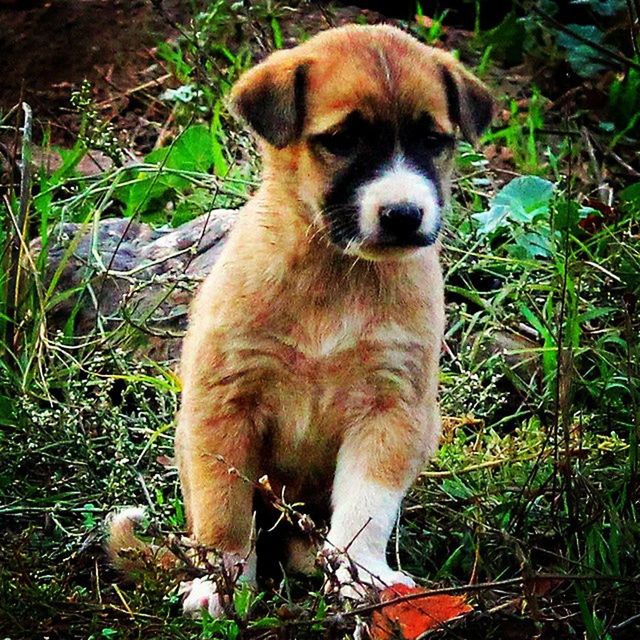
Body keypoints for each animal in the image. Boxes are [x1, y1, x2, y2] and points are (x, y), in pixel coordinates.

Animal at [169, 23, 490, 616]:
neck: (338, 275)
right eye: (341, 140)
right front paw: (219, 583)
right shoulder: (226, 403)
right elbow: (223, 507)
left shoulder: (390, 411)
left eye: (433, 141)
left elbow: (365, 511)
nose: (404, 214)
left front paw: (361, 577)